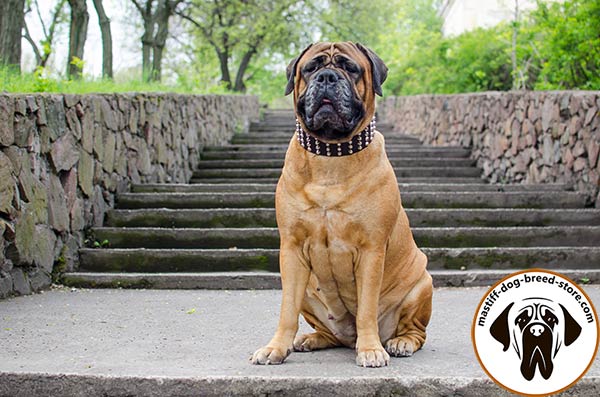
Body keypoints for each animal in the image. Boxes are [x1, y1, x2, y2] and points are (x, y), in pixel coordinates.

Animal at [251, 41, 434, 366]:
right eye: (311, 68)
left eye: (350, 68)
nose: (327, 77)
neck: (331, 153)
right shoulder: (292, 249)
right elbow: (287, 310)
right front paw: (276, 347)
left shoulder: (371, 250)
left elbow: (366, 309)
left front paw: (371, 349)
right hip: (309, 291)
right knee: (327, 331)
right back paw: (310, 339)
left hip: (422, 284)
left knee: (415, 330)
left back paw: (400, 342)